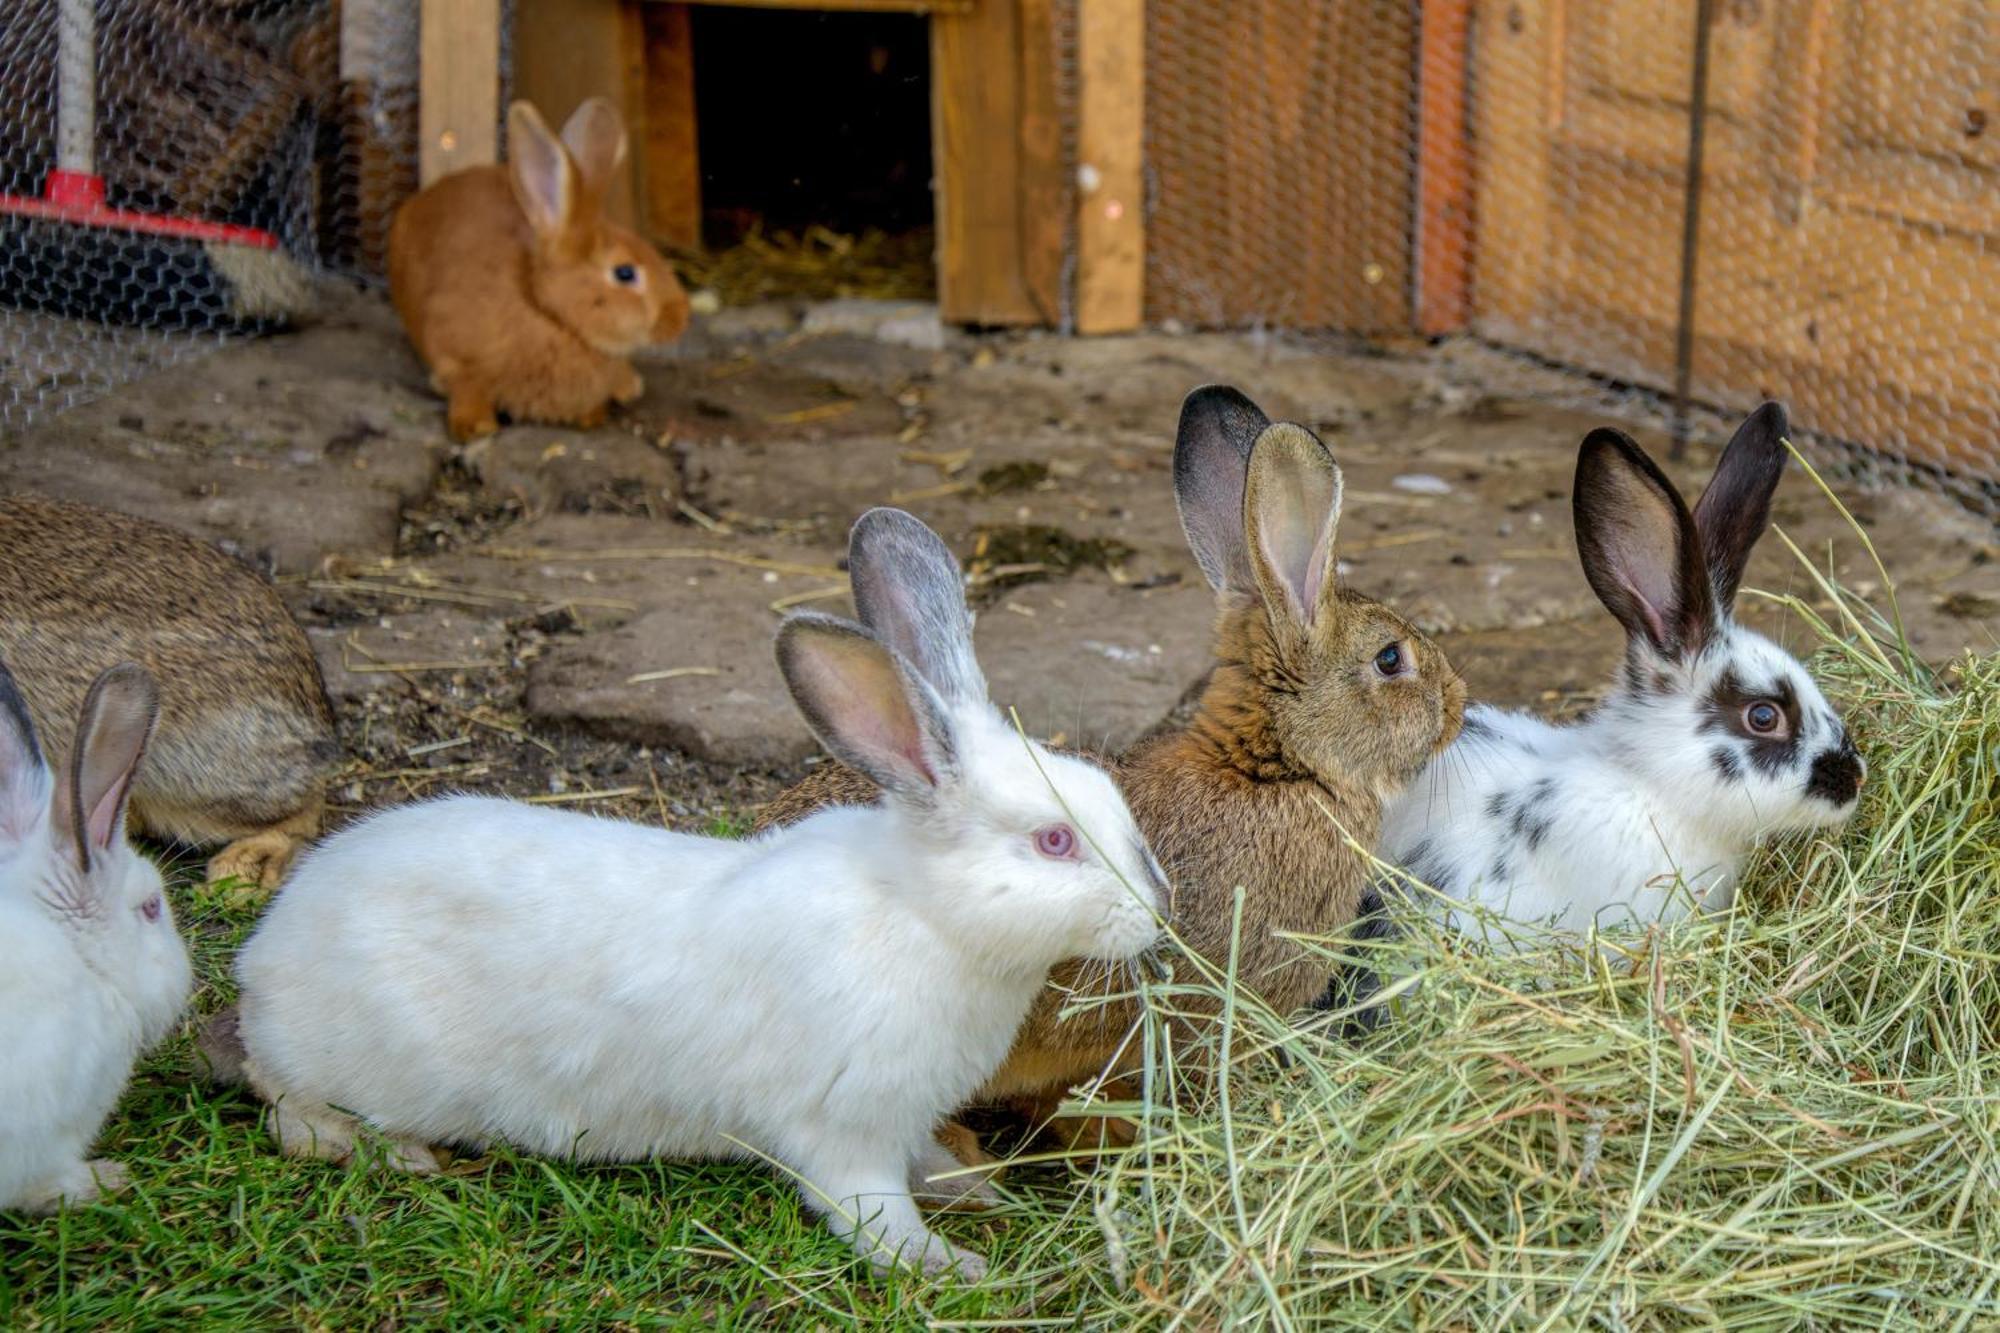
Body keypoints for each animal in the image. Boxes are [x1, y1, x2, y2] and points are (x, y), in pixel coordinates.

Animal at [386, 100, 692, 440]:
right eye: (625, 273)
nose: (680, 317)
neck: (546, 311)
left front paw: (591, 415)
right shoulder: (454, 353)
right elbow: (467, 386)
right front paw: (475, 426)